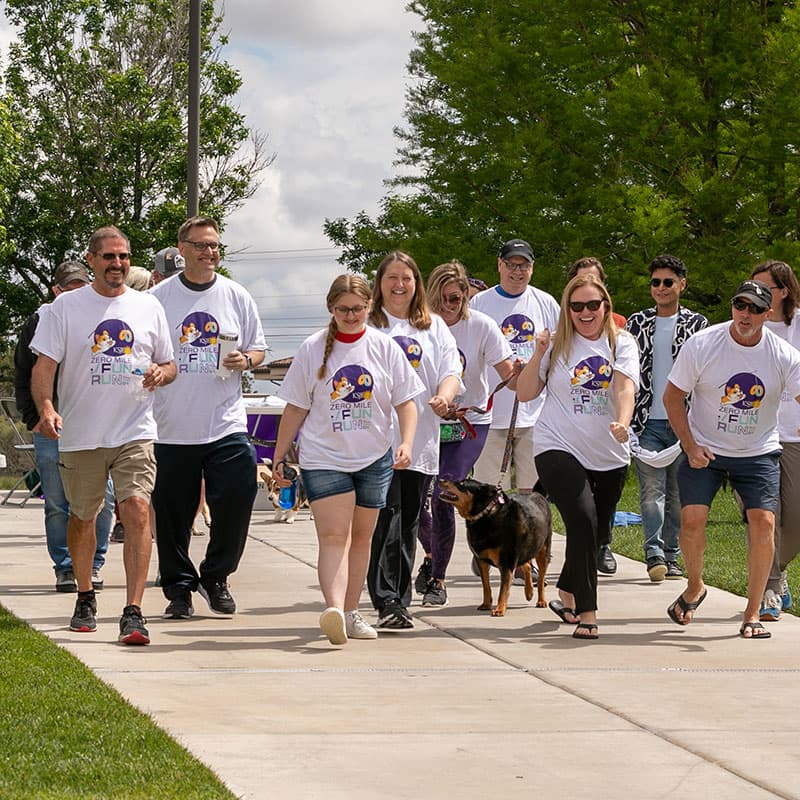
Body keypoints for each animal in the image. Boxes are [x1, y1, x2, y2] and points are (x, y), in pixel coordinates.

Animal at [438, 478, 552, 616]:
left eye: (462, 484)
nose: (441, 479)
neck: (485, 515)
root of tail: (538, 494)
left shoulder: (507, 562)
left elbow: (504, 589)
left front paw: (500, 608)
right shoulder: (481, 560)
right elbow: (486, 586)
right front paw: (486, 604)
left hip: (543, 551)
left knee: (540, 578)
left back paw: (541, 600)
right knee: (527, 565)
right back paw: (529, 592)